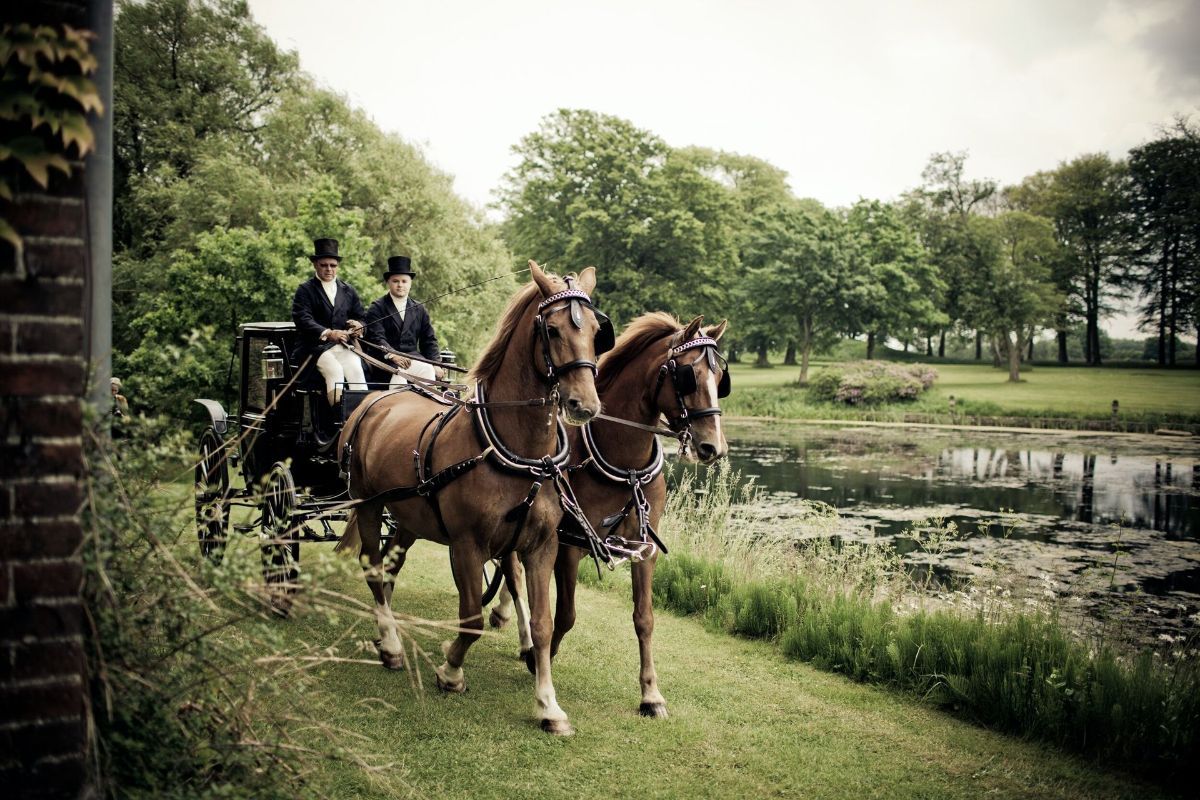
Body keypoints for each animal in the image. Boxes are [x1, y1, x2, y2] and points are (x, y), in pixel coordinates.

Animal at [335, 262, 613, 735]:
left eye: (597, 331)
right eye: (552, 329)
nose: (585, 405)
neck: (519, 452)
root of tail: (375, 401)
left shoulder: (541, 546)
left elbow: (541, 623)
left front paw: (548, 704)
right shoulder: (467, 544)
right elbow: (470, 617)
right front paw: (451, 671)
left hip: (409, 517)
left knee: (390, 566)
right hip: (368, 503)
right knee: (372, 566)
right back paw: (390, 643)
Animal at [489, 312, 730, 718]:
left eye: (720, 379)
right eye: (689, 375)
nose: (714, 447)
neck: (625, 464)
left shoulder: (644, 548)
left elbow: (645, 618)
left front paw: (651, 694)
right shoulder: (569, 545)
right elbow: (566, 614)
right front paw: (540, 659)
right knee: (513, 571)